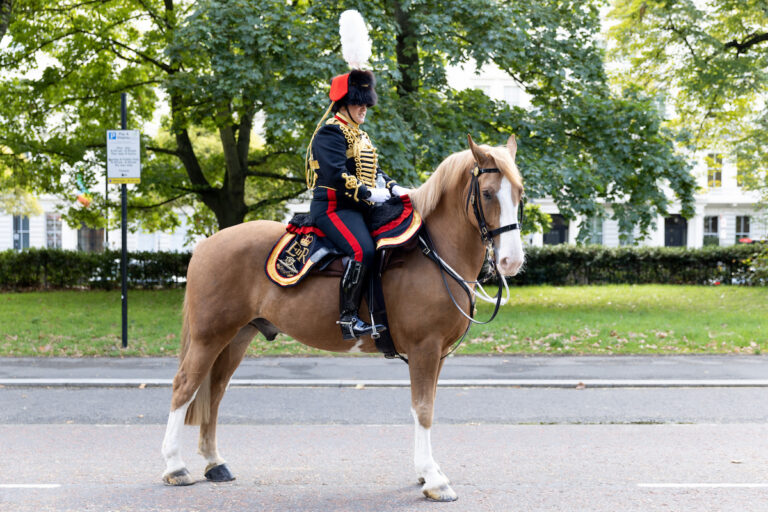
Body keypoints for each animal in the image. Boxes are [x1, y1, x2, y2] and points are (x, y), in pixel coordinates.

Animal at [160, 134, 525, 502]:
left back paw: (214, 462)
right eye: (488, 193)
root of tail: (207, 244)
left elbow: (428, 405)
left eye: (520, 192)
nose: (511, 261)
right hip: (209, 336)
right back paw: (175, 466)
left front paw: (427, 472)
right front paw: (434, 479)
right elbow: (423, 409)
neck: (434, 251)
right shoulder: (425, 347)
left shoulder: (438, 355)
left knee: (214, 392)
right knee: (185, 386)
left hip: (237, 337)